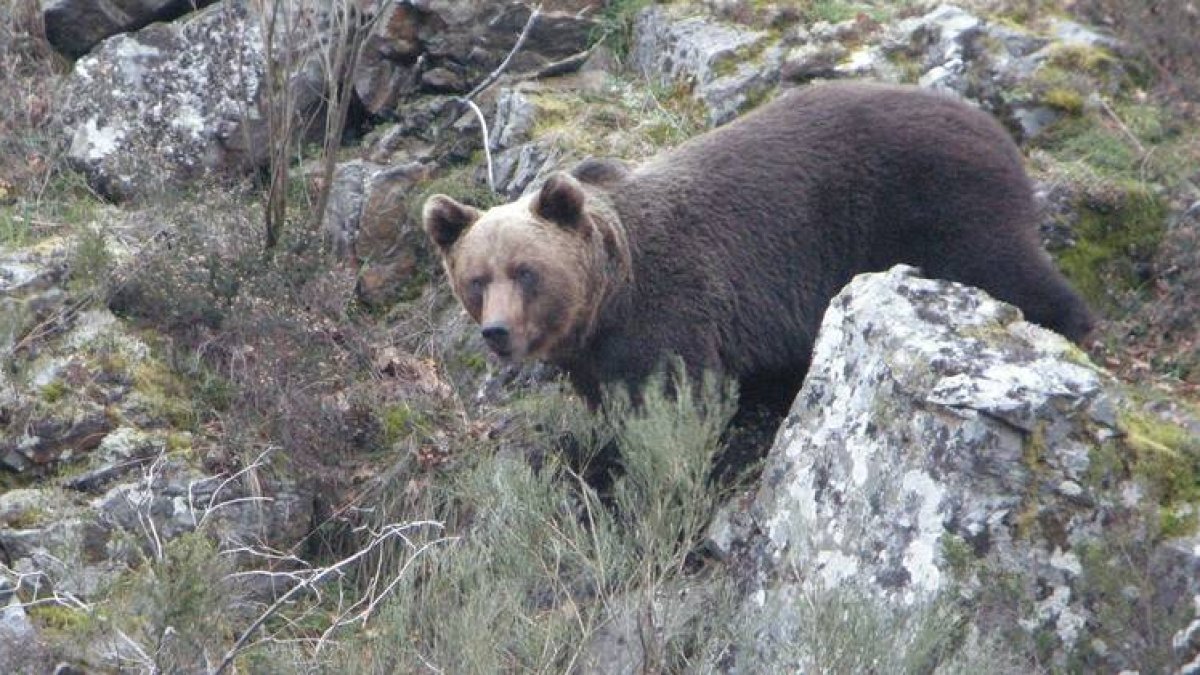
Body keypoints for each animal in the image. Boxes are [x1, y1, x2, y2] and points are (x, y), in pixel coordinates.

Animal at [422, 82, 1095, 412]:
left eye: (525, 270)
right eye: (476, 280)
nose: (497, 332)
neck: (611, 299)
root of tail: (993, 126)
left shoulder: (675, 306)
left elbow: (679, 396)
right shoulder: (596, 357)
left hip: (935, 204)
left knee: (1005, 268)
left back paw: (1071, 326)